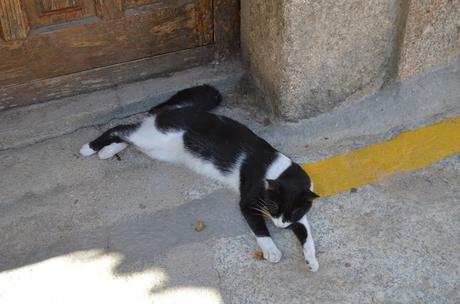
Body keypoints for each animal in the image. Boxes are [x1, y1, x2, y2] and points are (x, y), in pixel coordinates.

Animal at [81, 84, 320, 272]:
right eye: (274, 207)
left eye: (293, 212)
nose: (281, 225)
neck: (277, 168)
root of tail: (177, 109)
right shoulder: (248, 202)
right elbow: (259, 228)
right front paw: (271, 249)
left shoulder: (299, 213)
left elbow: (306, 233)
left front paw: (311, 259)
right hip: (154, 137)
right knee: (122, 129)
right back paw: (90, 147)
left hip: (157, 148)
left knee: (130, 136)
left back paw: (107, 151)